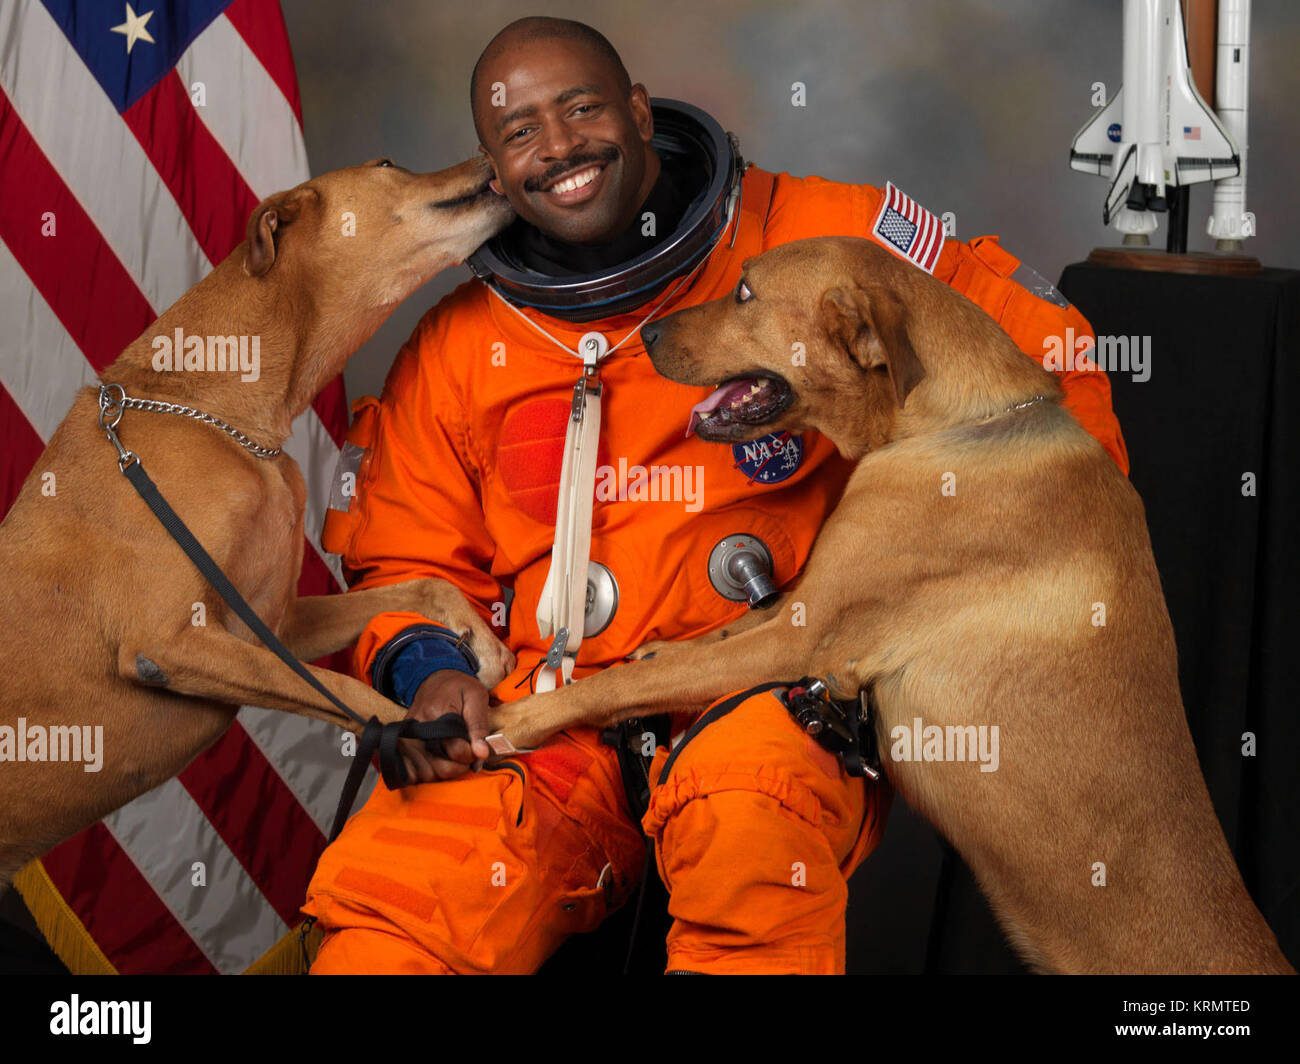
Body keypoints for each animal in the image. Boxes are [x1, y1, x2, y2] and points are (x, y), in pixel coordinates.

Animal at [0, 155, 517, 889]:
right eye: (389, 165)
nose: (486, 155)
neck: (221, 414)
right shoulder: (170, 643)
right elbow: (346, 692)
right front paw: (422, 737)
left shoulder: (273, 625)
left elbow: (424, 586)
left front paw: (480, 640)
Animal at [486, 236, 1289, 972]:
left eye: (745, 292)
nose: (645, 333)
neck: (951, 422)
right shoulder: (798, 607)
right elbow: (711, 637)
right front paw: (653, 653)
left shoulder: (803, 642)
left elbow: (645, 677)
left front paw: (521, 719)